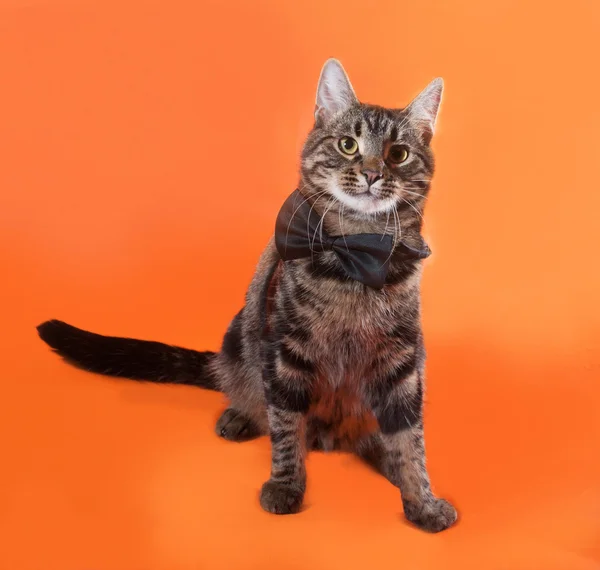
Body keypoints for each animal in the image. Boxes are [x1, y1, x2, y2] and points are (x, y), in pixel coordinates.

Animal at [36, 60, 460, 532]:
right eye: (348, 145)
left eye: (398, 154)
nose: (371, 173)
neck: (356, 255)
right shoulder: (287, 352)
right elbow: (286, 427)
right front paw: (286, 485)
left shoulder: (401, 362)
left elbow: (410, 440)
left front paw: (422, 499)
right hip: (242, 334)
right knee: (244, 386)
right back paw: (239, 415)